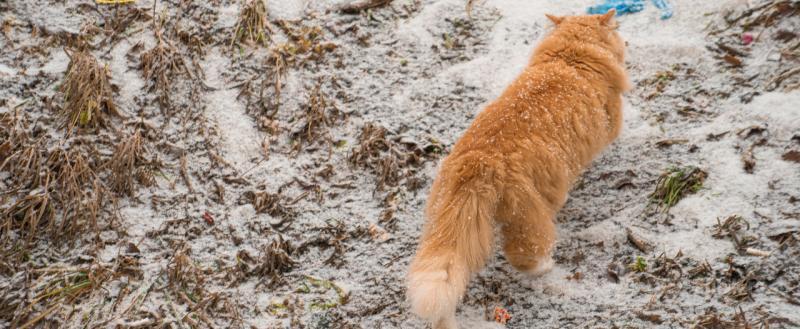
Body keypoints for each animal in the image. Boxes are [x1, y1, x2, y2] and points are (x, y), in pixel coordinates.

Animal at [406, 10, 632, 328]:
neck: (569, 59)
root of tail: (481, 159)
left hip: (448, 222)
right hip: (528, 213)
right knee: (524, 253)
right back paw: (545, 266)